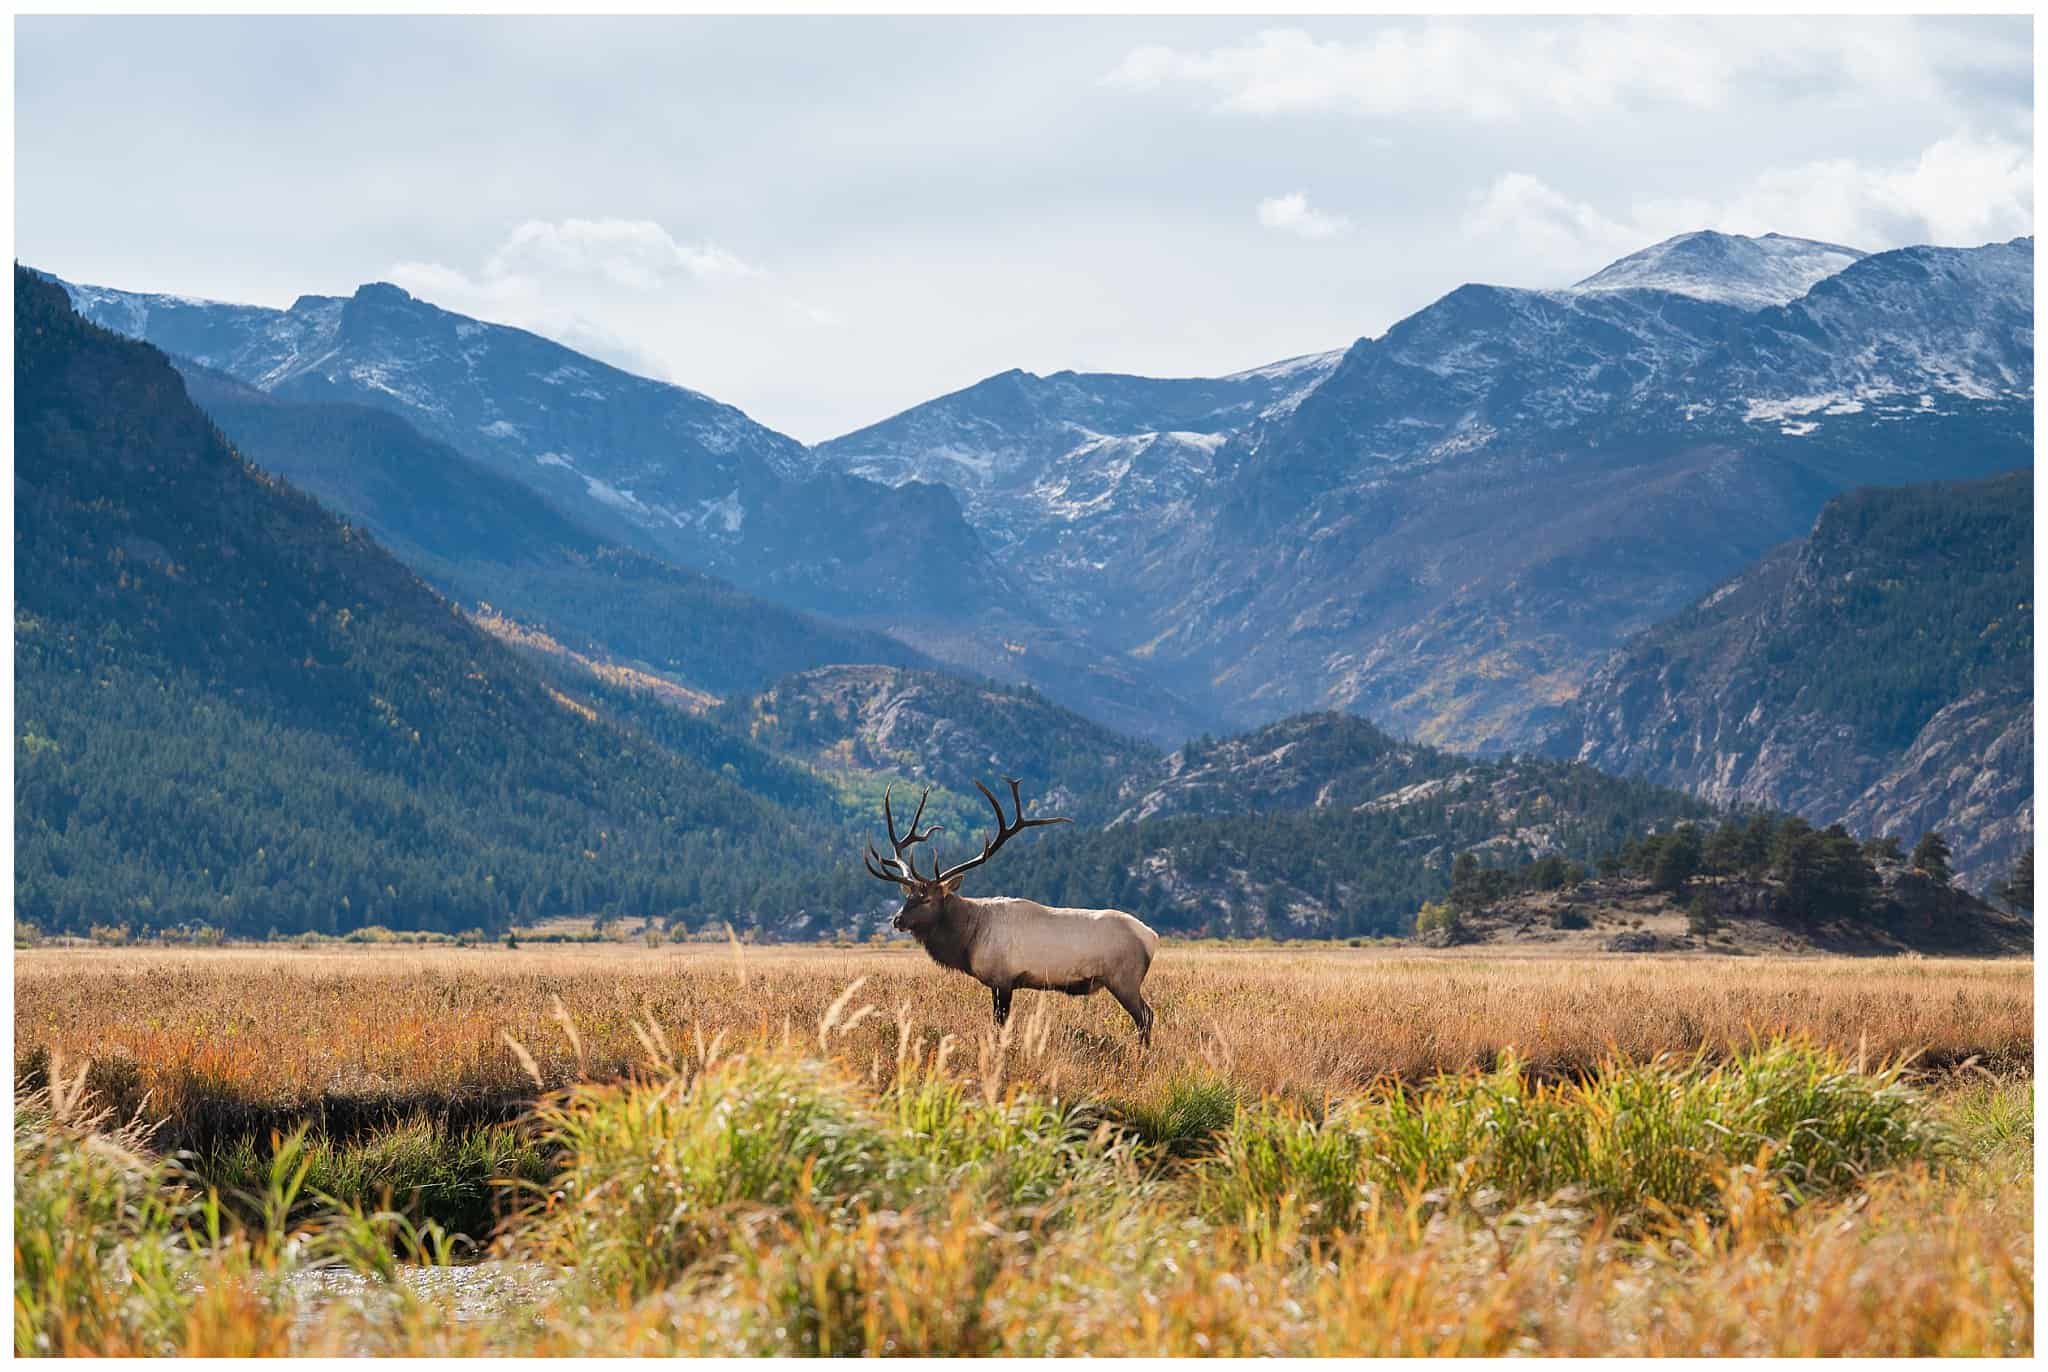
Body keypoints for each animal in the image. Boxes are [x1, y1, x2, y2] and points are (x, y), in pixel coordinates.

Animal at [860, 778, 1163, 1048]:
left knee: (1146, 1016)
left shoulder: (1003, 978)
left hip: (1124, 979)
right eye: (908, 896)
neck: (969, 937)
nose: (897, 920)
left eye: (927, 899)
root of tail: (1151, 936)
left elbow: (1001, 1022)